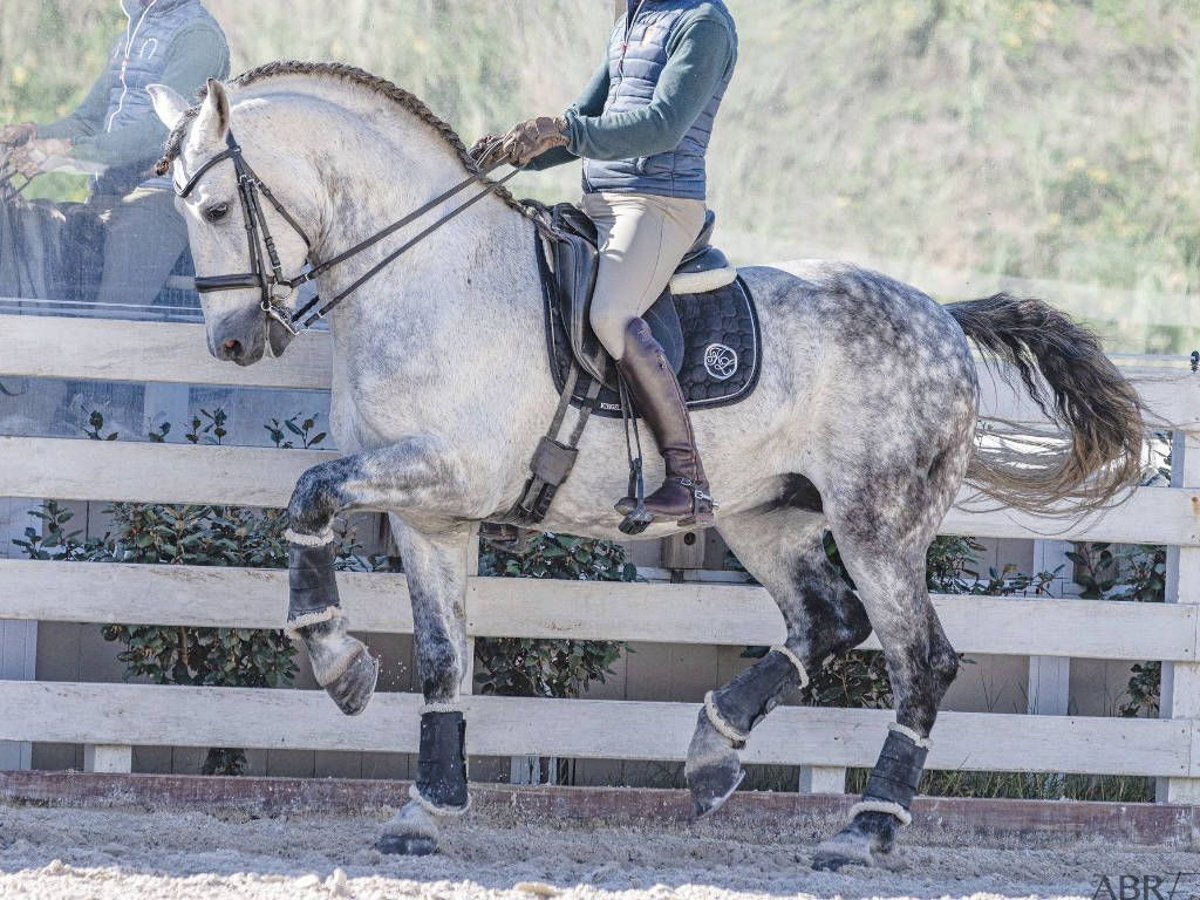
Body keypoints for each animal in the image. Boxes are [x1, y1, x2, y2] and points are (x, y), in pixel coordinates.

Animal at [150, 61, 1142, 868]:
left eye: (217, 209)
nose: (233, 342)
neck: (429, 272)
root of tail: (941, 314)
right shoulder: (431, 512)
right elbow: (440, 658)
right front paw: (421, 808)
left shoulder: (447, 472)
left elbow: (308, 493)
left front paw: (334, 659)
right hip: (767, 516)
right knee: (826, 621)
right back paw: (712, 752)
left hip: (879, 525)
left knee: (920, 661)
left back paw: (862, 831)